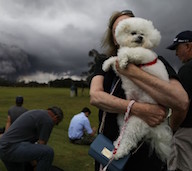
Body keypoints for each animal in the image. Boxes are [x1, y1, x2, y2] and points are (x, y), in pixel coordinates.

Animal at [102, 17, 172, 162]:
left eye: (143, 34)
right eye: (133, 33)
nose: (140, 37)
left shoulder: (143, 55)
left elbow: (126, 53)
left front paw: (123, 59)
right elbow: (114, 60)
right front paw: (106, 65)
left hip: (136, 123)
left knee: (129, 141)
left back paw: (117, 153)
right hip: (123, 117)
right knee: (122, 134)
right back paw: (116, 144)